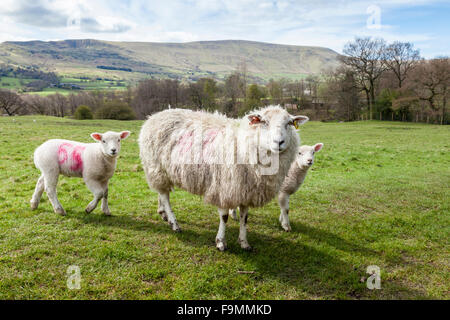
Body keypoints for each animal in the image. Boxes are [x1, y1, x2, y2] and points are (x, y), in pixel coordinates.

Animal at [140, 105, 310, 250]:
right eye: (264, 122)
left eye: (289, 123)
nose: (279, 142)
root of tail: (155, 116)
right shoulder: (223, 187)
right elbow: (224, 217)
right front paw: (221, 242)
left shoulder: (246, 190)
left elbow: (244, 217)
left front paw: (244, 242)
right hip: (156, 168)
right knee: (165, 195)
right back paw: (174, 223)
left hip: (161, 172)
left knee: (162, 193)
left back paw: (163, 213)